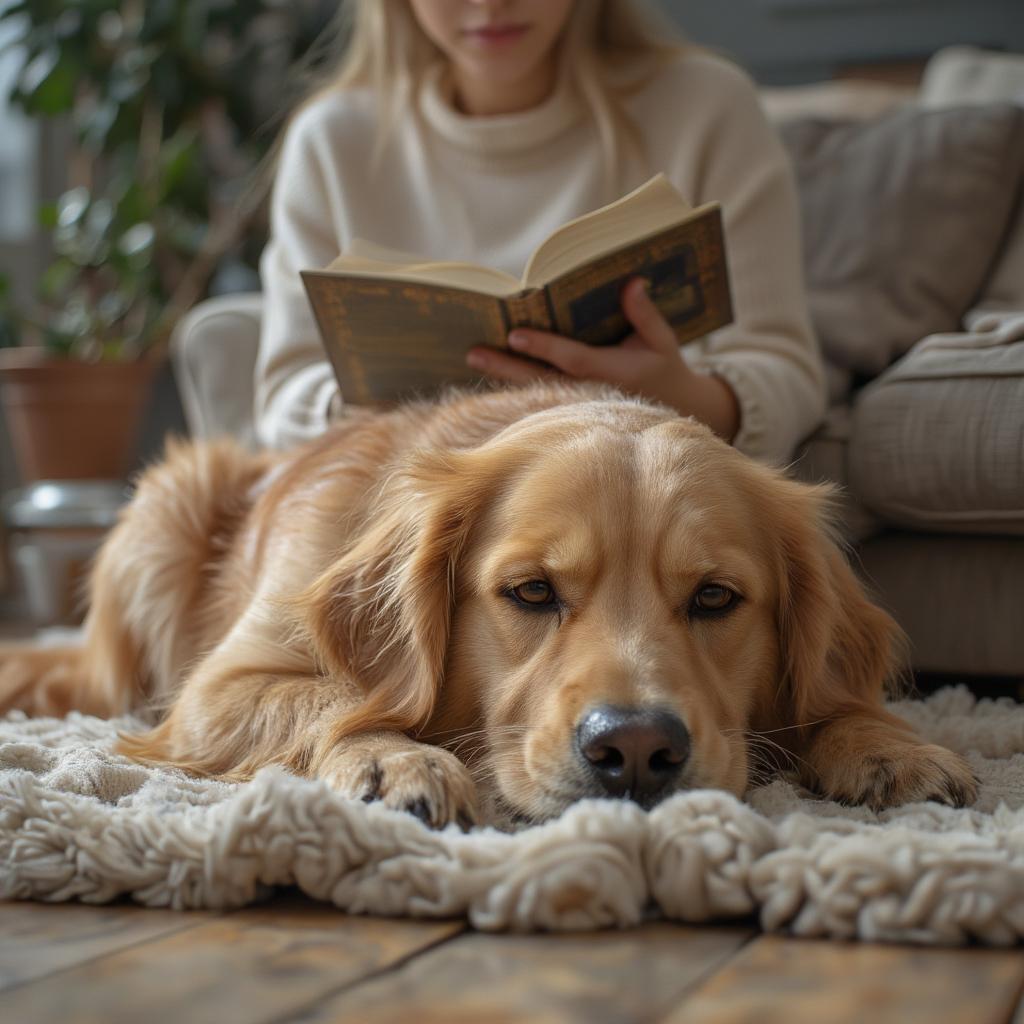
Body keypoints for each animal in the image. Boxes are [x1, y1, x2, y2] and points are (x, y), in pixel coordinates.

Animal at [0, 380, 974, 827]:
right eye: (531, 591)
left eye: (714, 597)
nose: (635, 750)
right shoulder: (216, 690)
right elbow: (339, 698)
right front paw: (395, 759)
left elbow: (830, 703)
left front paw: (887, 745)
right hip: (173, 498)